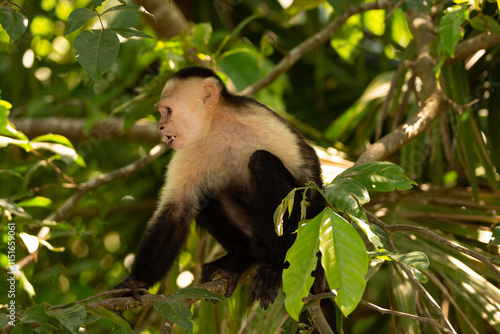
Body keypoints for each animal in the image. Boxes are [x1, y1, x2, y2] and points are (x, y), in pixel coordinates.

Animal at [117, 68, 336, 328]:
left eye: (168, 110)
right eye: (161, 112)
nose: (160, 127)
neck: (218, 126)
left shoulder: (261, 119)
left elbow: (308, 179)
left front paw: (318, 269)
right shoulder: (188, 148)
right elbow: (177, 208)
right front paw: (136, 281)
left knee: (262, 162)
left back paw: (276, 266)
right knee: (203, 195)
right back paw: (241, 259)